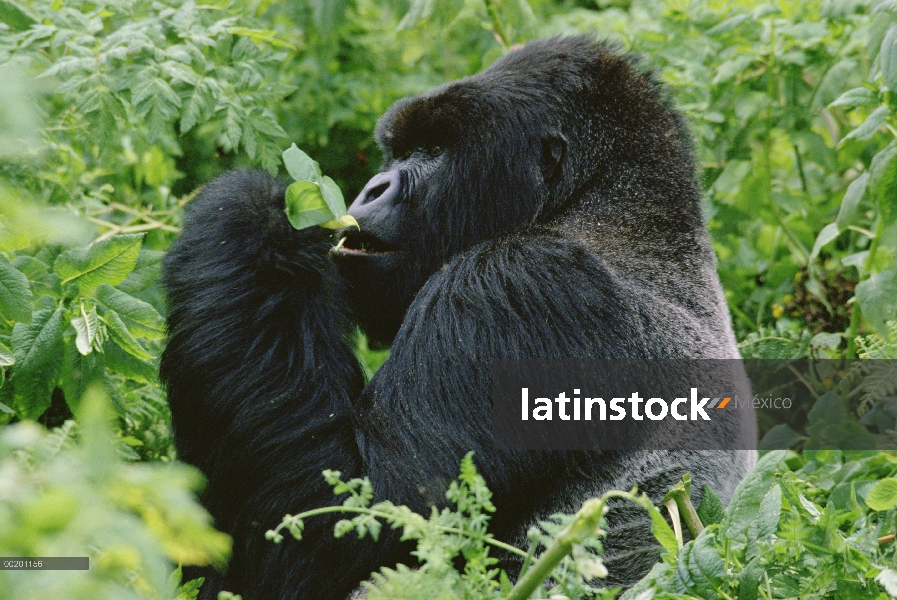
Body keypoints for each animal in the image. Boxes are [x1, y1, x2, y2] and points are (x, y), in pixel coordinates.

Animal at [159, 36, 748, 600]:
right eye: (398, 151)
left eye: (436, 151)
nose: (372, 188)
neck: (607, 208)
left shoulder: (509, 285)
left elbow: (342, 519)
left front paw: (250, 208)